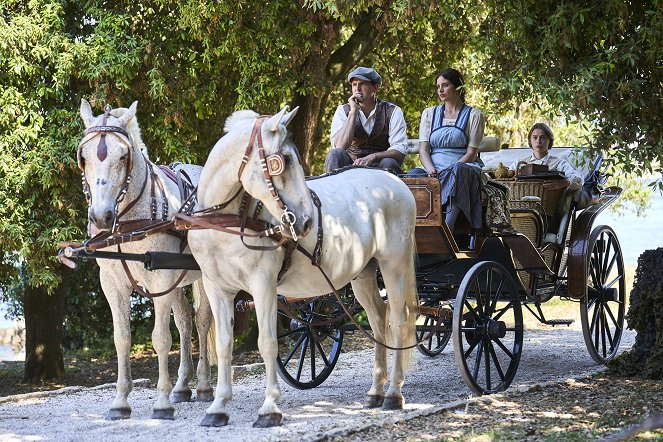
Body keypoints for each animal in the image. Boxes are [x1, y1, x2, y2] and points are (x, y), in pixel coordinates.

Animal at [76, 98, 214, 420]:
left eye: (122, 155)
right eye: (83, 157)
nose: (101, 217)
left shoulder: (160, 279)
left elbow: (161, 339)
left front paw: (161, 402)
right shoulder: (111, 284)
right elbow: (122, 338)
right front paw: (120, 401)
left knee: (202, 322)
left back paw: (203, 386)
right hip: (178, 279)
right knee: (185, 323)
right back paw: (182, 386)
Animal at [185, 107, 416, 428]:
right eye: (285, 159)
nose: (306, 221)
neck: (223, 223)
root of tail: (397, 183)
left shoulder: (263, 285)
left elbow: (268, 343)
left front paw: (270, 408)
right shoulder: (217, 288)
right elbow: (223, 344)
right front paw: (218, 407)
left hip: (394, 266)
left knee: (399, 320)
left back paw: (394, 393)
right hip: (364, 273)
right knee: (378, 319)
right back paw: (375, 392)